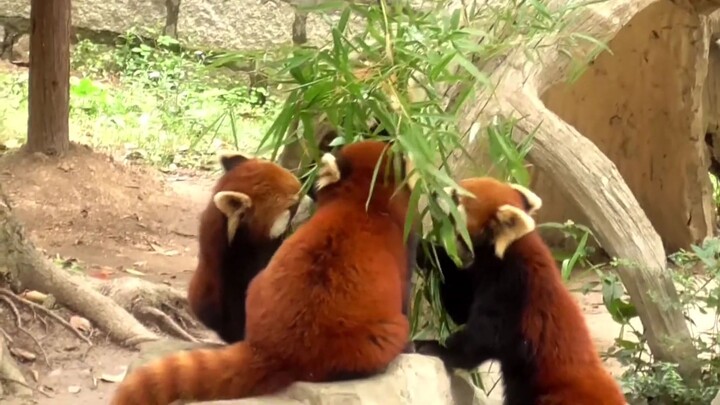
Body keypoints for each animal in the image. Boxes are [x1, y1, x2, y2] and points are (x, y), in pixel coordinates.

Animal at [414, 178, 628, 404]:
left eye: (456, 196)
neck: (509, 248)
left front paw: (433, 347)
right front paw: (423, 248)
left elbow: (482, 338)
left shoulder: (514, 288)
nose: (433, 191)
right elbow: (461, 305)